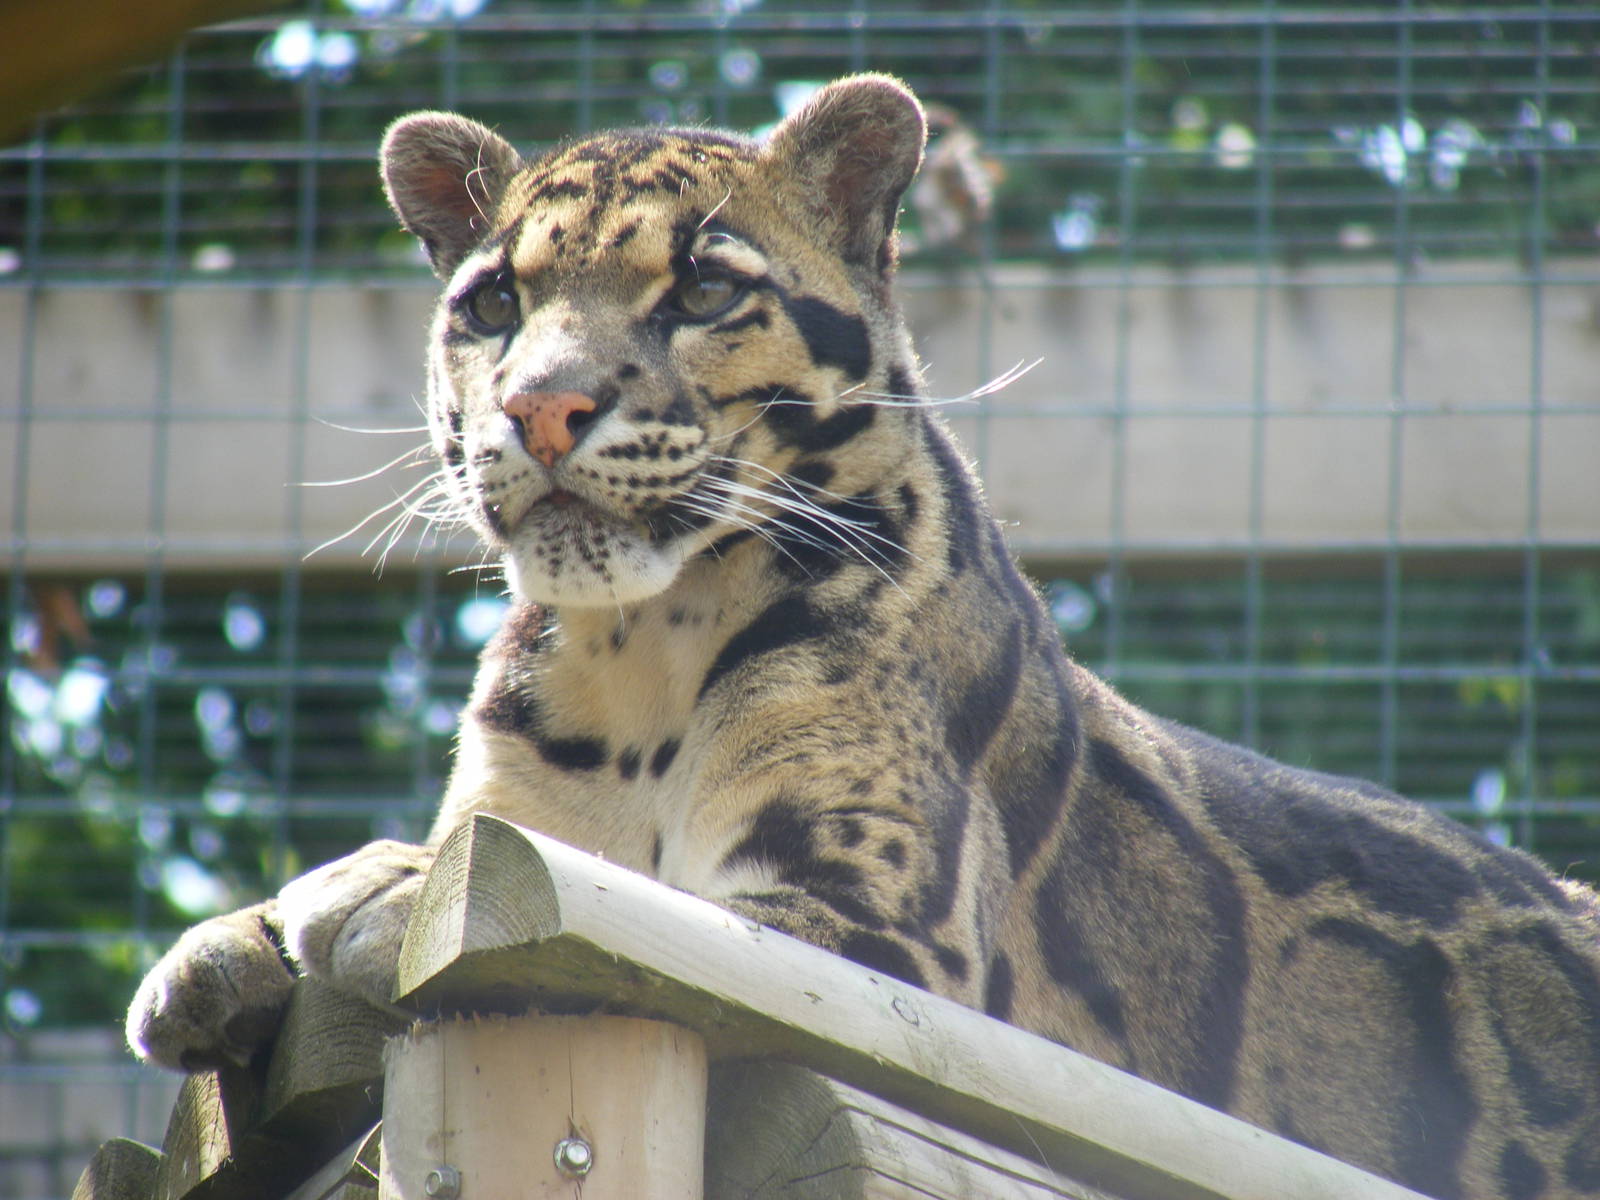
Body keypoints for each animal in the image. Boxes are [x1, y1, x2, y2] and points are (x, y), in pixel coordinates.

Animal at [125, 74, 1600, 1200]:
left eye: (703, 294)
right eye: (494, 306)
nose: (542, 409)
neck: (631, 657)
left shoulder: (872, 935)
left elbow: (655, 906)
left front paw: (369, 888)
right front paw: (226, 948)